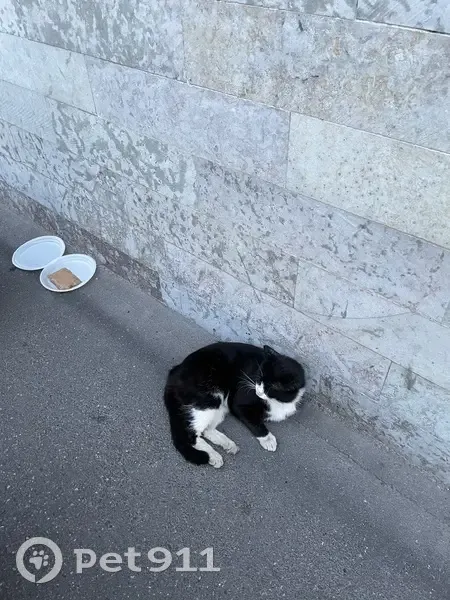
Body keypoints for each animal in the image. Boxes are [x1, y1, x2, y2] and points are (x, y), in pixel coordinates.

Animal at [164, 342, 306, 468]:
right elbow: (255, 423)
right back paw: (213, 456)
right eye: (259, 378)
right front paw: (267, 439)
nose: (257, 390)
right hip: (209, 397)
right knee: (190, 433)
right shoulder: (239, 403)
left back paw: (227, 444)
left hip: (220, 406)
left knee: (206, 430)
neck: (278, 401)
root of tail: (175, 371)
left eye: (270, 388)